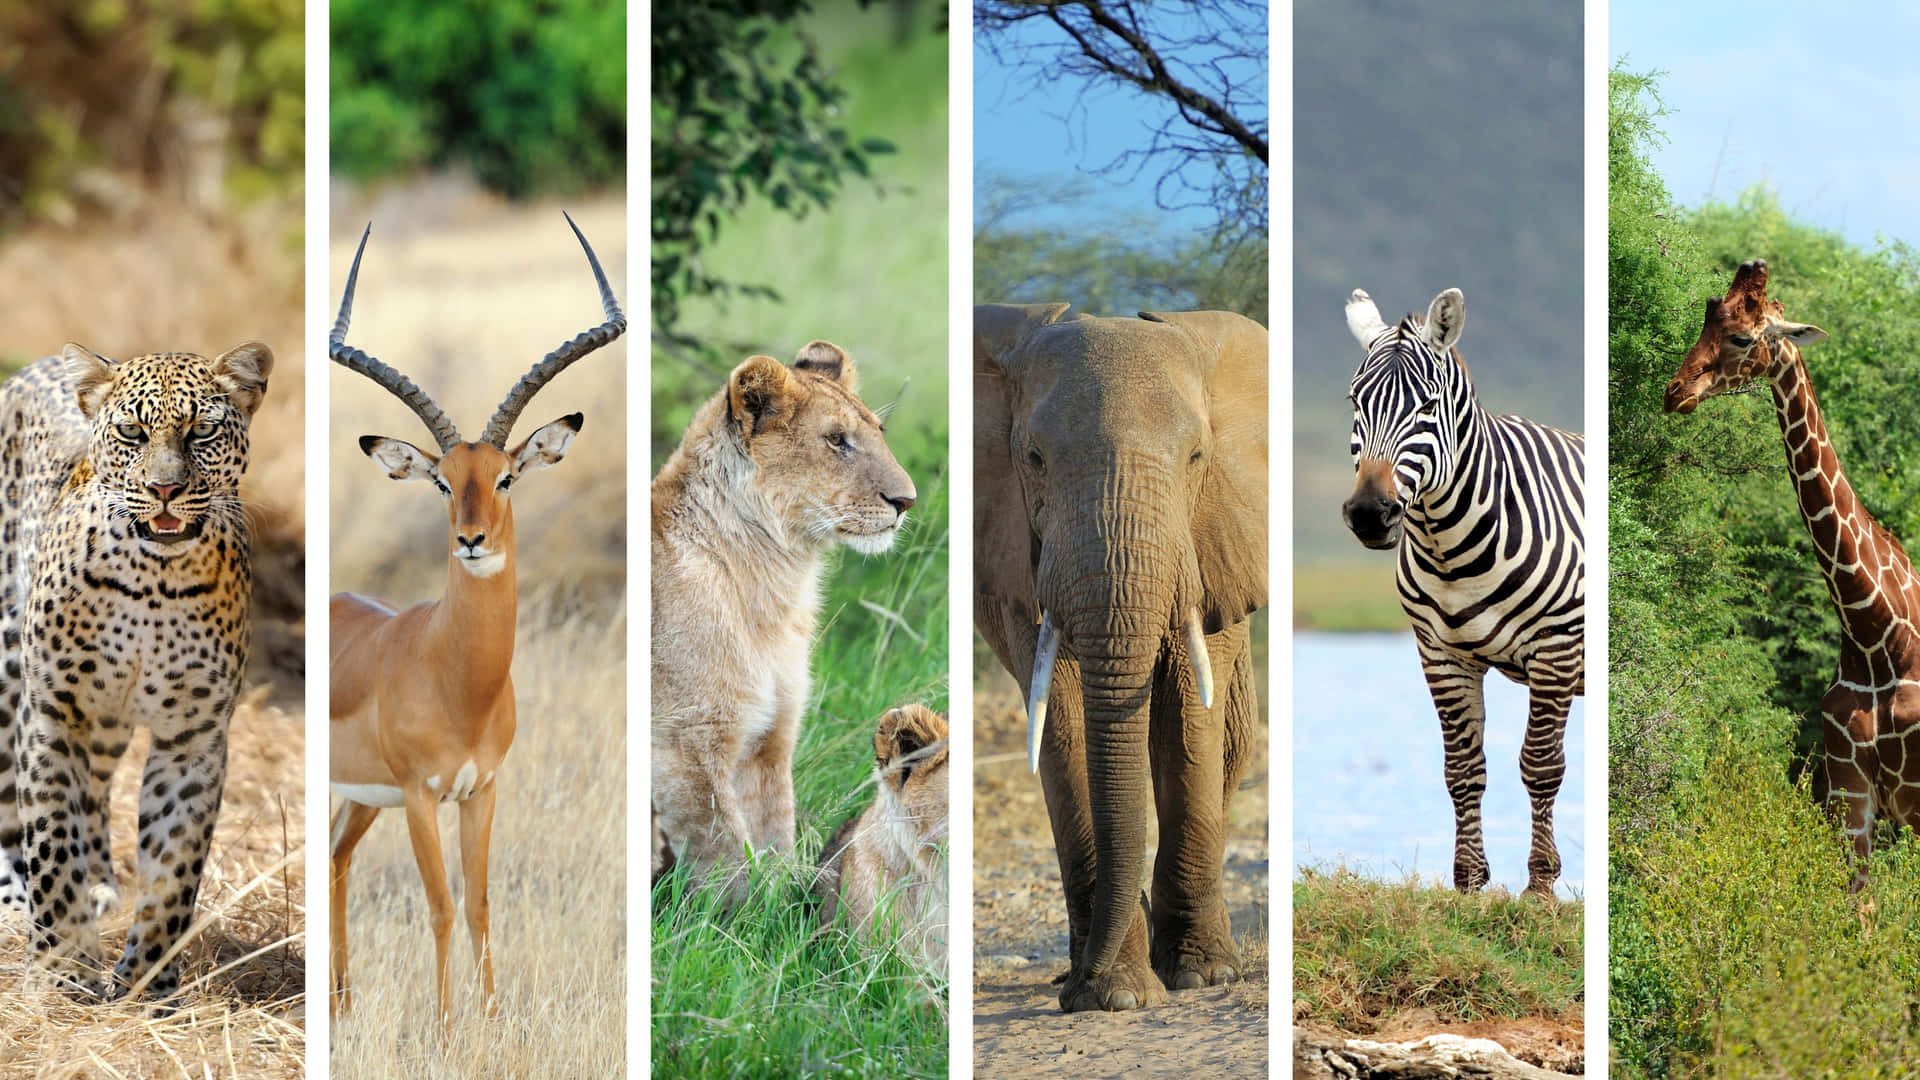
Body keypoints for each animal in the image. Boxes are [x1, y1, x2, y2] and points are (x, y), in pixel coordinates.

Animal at [326, 214, 624, 1027]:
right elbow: (441, 908)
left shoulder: (482, 791)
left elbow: (484, 904)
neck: (458, 679)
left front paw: (488, 1021)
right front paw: (446, 1026)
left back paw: (343, 1006)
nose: (472, 539)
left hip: (360, 800)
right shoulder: (422, 795)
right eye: (439, 482)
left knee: (335, 860)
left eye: (507, 476)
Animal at [974, 302, 1268, 1012]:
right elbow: (1062, 720)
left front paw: (1200, 977)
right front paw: (1112, 995)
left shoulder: (1209, 542)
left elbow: (1189, 715)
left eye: (1197, 457)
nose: (1076, 985)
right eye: (1033, 459)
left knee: (1231, 744)